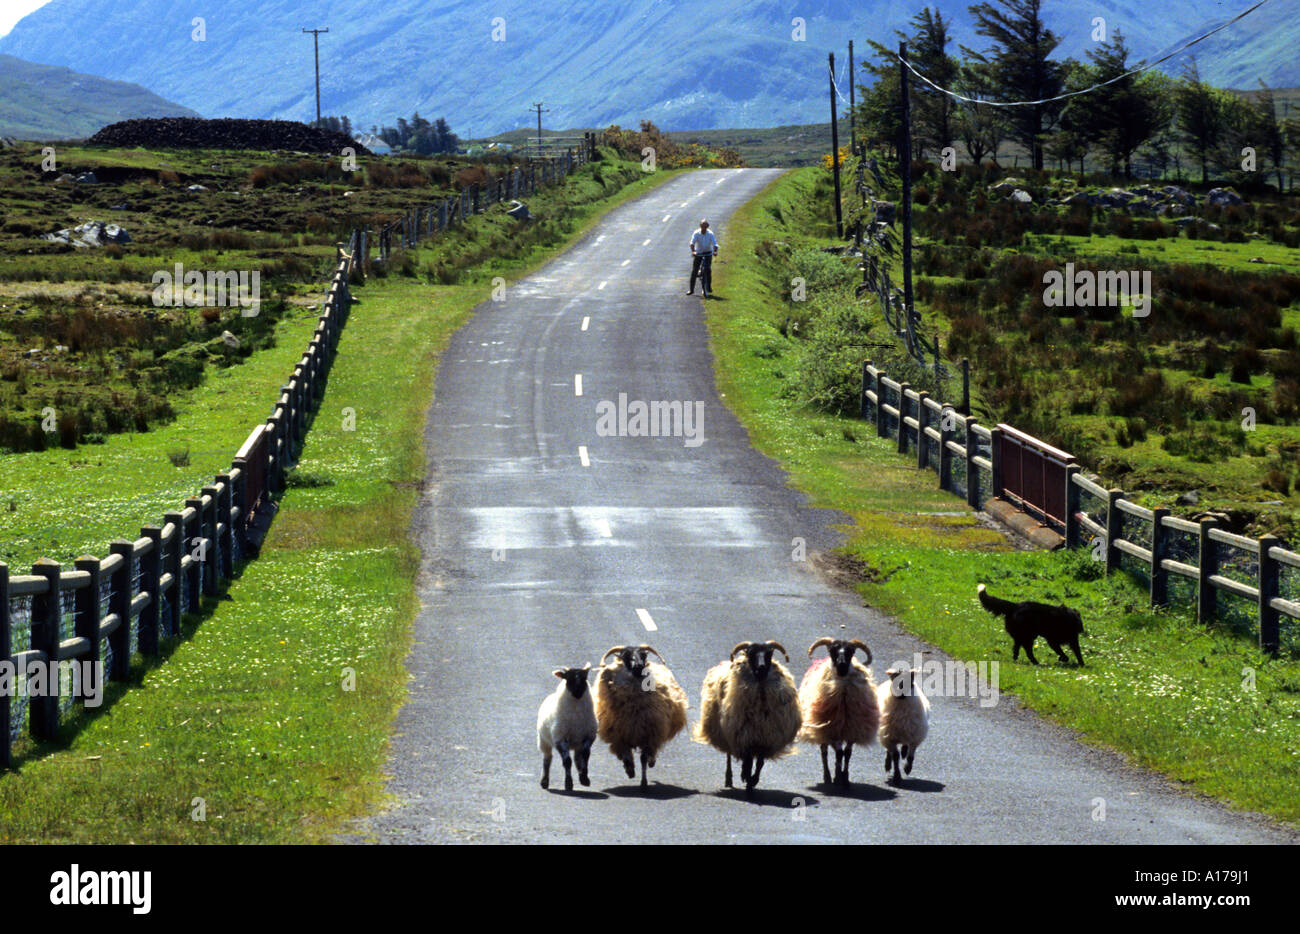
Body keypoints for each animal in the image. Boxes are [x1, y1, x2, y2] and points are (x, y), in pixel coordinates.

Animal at [533, 663, 598, 796]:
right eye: (569, 679)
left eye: (584, 678)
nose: (578, 693)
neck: (576, 716)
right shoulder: (560, 739)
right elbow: (567, 761)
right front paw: (568, 784)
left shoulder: (589, 736)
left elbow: (585, 756)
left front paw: (584, 778)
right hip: (544, 741)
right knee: (547, 759)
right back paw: (544, 781)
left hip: (577, 742)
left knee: (578, 757)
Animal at [595, 645, 691, 790]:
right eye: (626, 655)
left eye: (643, 655)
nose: (639, 665)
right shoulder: (620, 736)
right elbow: (627, 756)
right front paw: (630, 770)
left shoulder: (648, 735)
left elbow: (644, 759)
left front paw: (644, 783)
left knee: (651, 754)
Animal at [691, 640, 800, 796]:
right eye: (751, 653)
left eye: (769, 653)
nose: (761, 667)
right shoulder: (745, 737)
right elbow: (748, 763)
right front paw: (747, 781)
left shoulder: (765, 740)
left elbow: (759, 764)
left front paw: (753, 781)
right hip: (728, 731)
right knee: (729, 755)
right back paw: (729, 779)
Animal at [790, 637, 883, 790]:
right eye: (832, 650)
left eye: (851, 651)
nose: (842, 665)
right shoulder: (832, 728)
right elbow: (839, 753)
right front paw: (838, 777)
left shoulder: (852, 729)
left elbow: (847, 753)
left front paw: (845, 779)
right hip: (822, 727)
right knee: (824, 751)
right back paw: (828, 776)